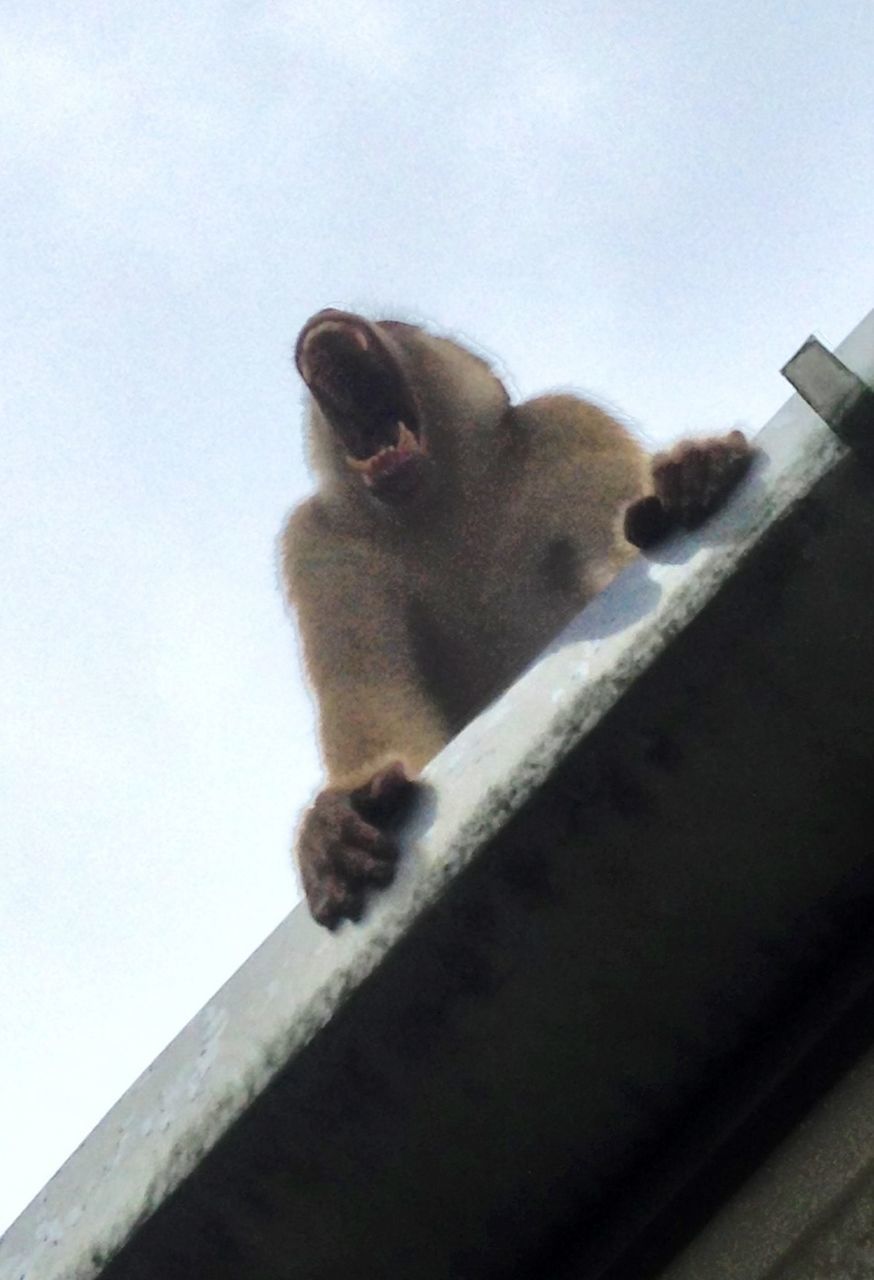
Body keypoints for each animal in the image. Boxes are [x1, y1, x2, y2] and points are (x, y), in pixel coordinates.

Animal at [281, 312, 752, 931]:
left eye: (394, 325)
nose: (325, 321)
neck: (441, 510)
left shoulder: (567, 433)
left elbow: (621, 554)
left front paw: (692, 475)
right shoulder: (322, 550)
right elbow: (373, 701)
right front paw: (332, 821)